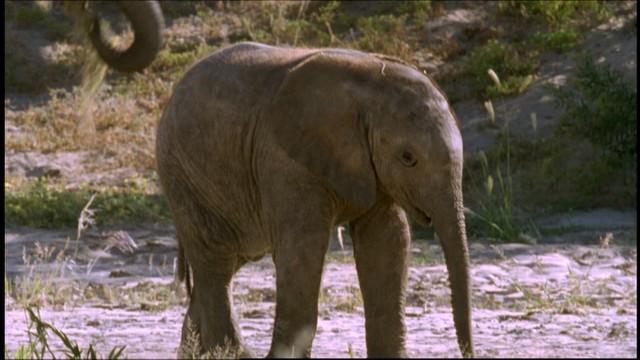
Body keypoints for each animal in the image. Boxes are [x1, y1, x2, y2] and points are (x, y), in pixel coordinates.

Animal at [157, 41, 472, 358]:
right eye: (408, 157)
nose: (469, 352)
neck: (370, 87)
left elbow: (388, 242)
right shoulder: (284, 159)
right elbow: (302, 249)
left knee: (226, 262)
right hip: (183, 175)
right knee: (216, 263)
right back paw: (230, 354)